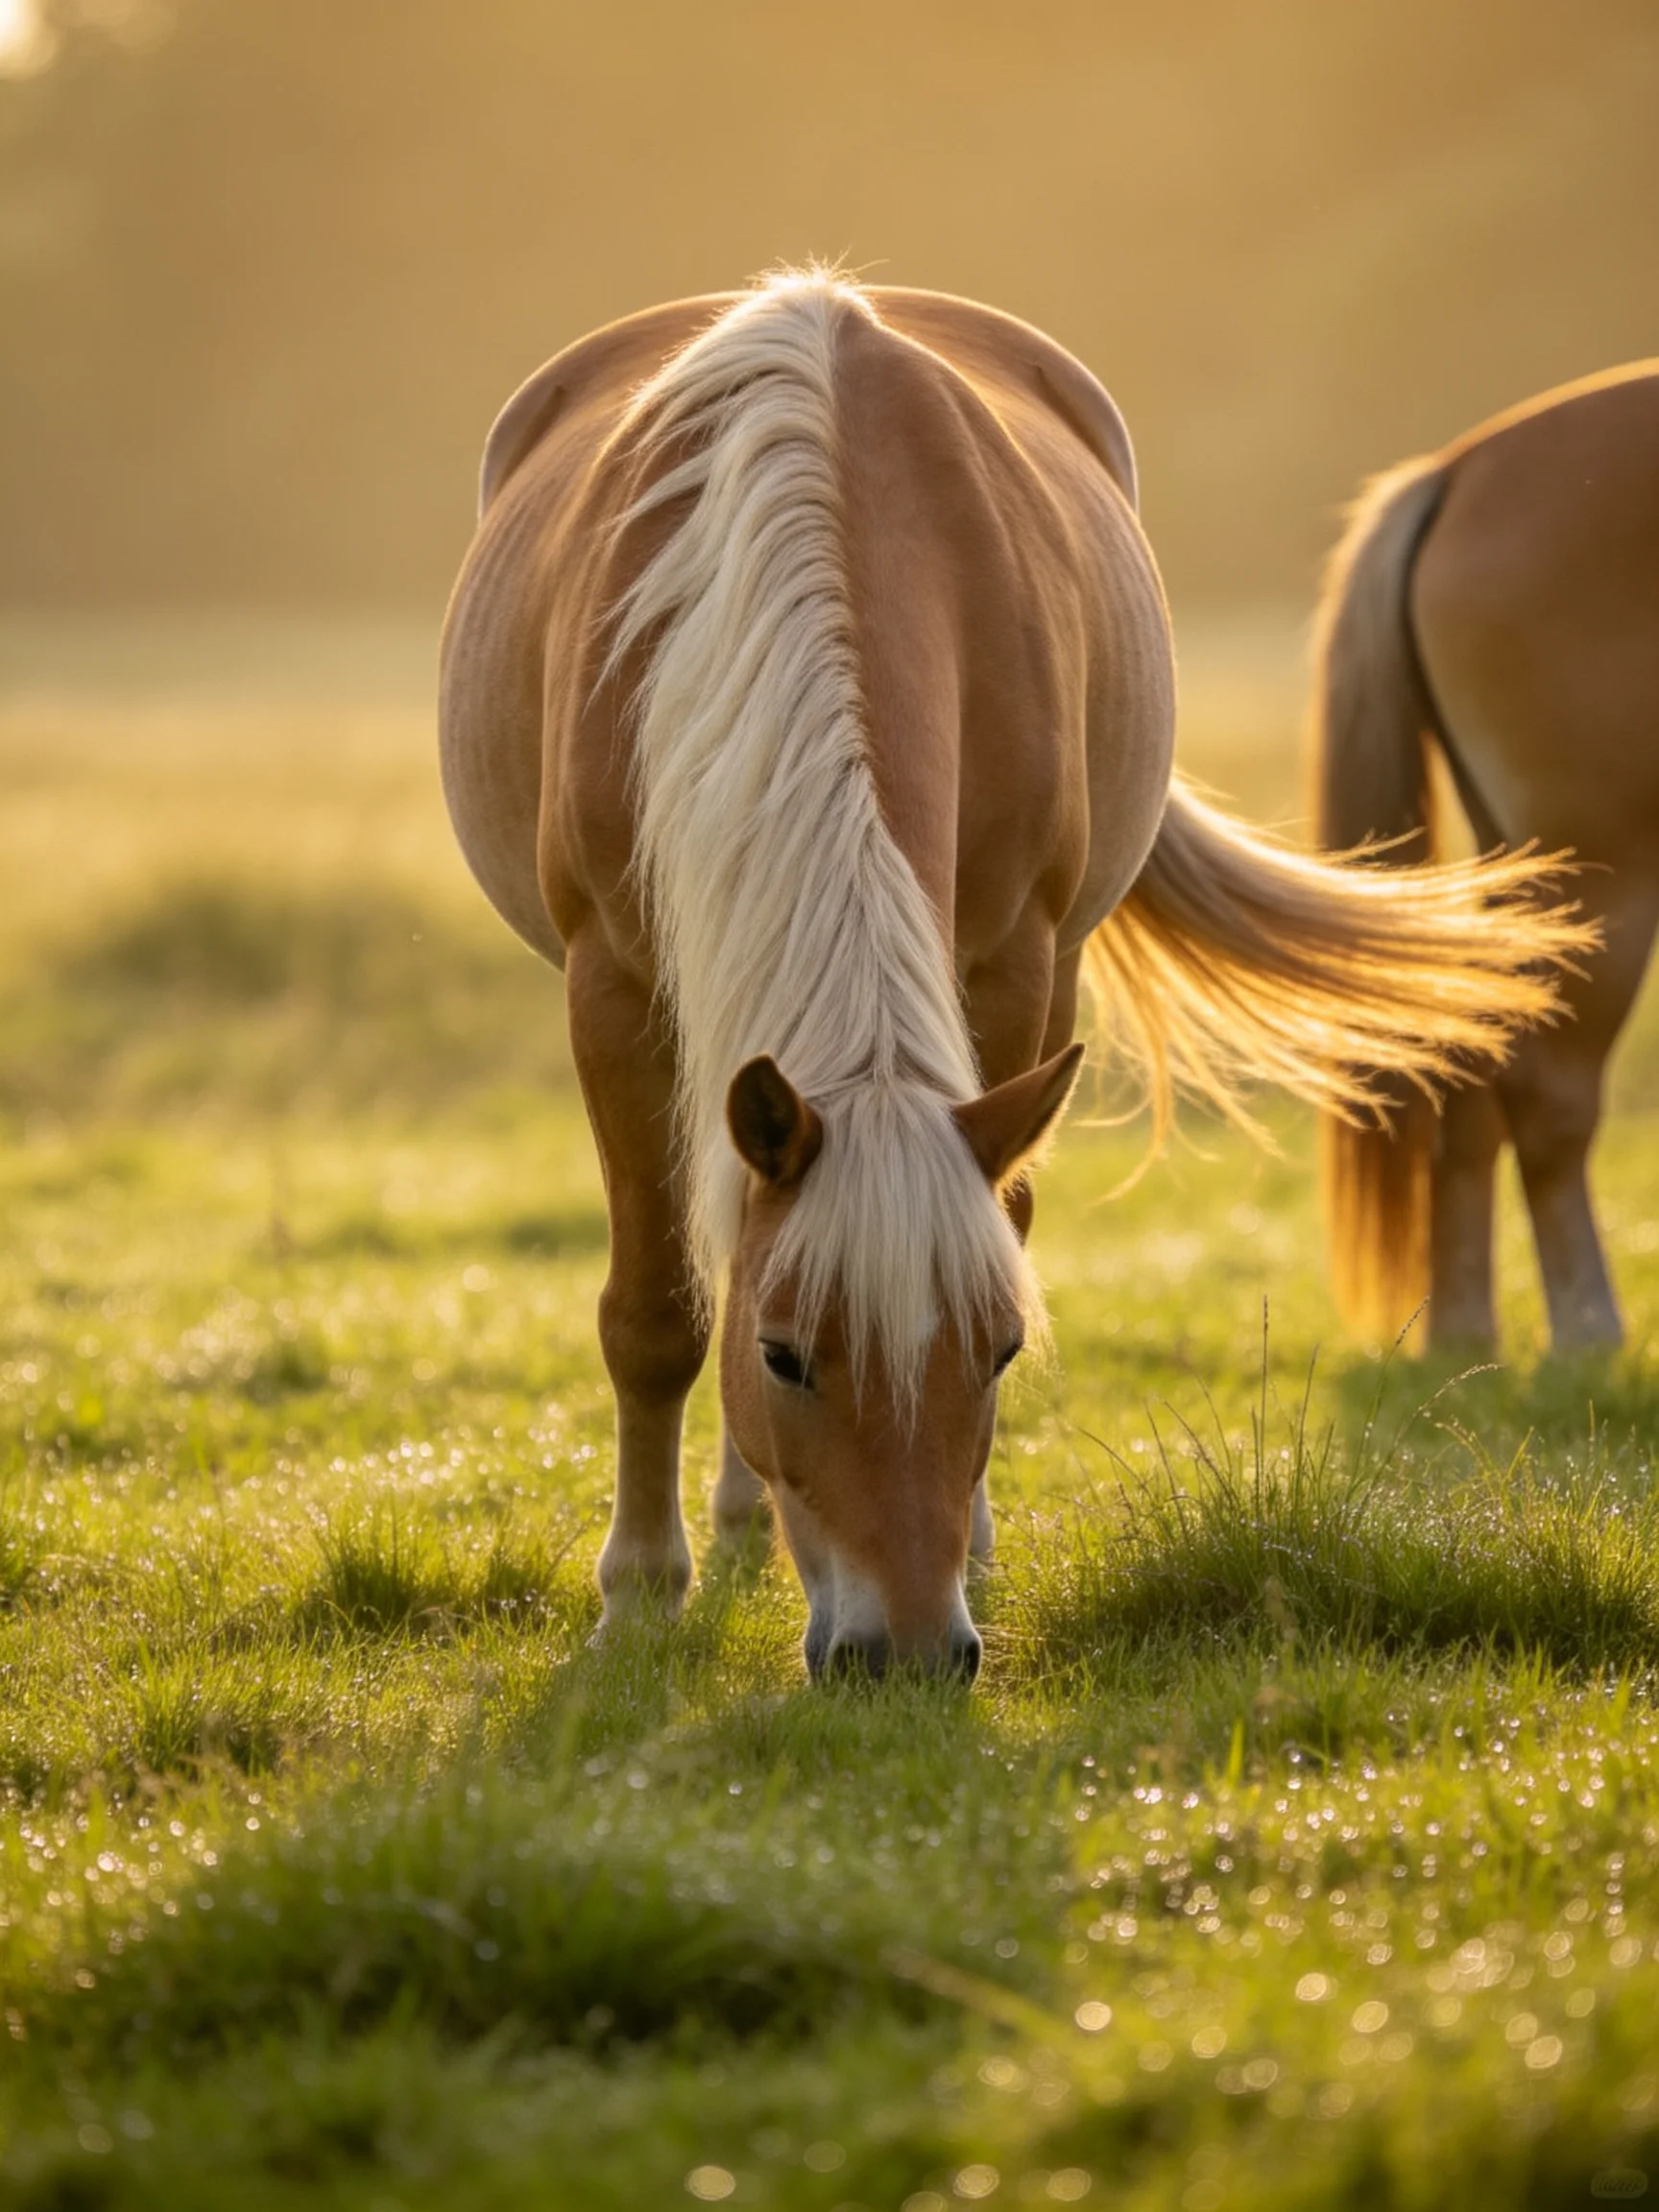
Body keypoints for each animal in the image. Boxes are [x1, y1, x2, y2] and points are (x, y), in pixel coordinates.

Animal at [440, 269, 1588, 1679]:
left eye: (996, 1352)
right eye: (786, 1357)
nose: (910, 1658)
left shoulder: (1015, 959)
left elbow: (997, 1224)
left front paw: (968, 1542)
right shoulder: (612, 985)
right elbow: (658, 1311)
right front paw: (641, 1596)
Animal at [1312, 361, 1659, 1356]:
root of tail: (1457, 470)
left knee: (1468, 1074)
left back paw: (1465, 1332)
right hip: (1603, 875)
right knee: (1548, 1099)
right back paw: (1586, 1333)